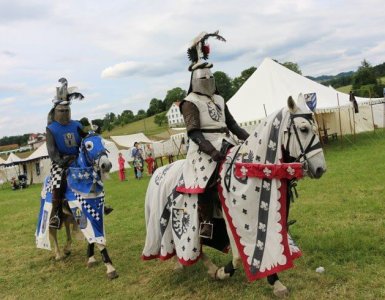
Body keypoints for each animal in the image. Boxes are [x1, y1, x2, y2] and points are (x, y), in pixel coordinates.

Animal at [142, 95, 326, 296]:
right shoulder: (233, 216)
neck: (250, 168)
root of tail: (160, 171)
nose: (320, 169)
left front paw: (276, 282)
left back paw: (206, 267)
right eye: (303, 129)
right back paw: (190, 265)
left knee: (196, 246)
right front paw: (223, 273)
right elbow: (238, 256)